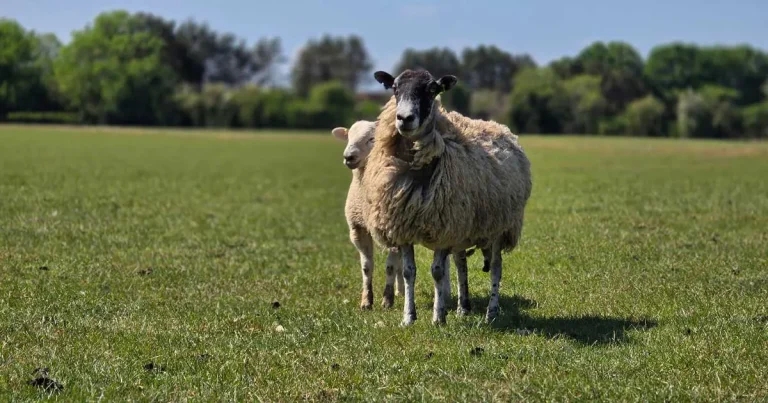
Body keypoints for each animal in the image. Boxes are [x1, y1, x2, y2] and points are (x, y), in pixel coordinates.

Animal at [331, 117, 492, 311]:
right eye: (348, 137)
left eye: (372, 139)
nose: (348, 157)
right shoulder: (358, 228)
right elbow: (367, 267)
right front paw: (367, 301)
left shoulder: (392, 229)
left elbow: (390, 267)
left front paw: (386, 300)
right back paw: (404, 291)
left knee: (451, 261)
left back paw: (448, 294)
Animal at [359, 68, 532, 326]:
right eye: (395, 88)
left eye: (432, 89)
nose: (404, 118)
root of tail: (499, 127)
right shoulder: (404, 228)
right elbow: (409, 272)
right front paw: (408, 317)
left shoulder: (443, 227)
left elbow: (438, 272)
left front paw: (438, 317)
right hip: (464, 227)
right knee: (461, 264)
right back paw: (463, 308)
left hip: (499, 227)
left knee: (496, 268)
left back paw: (491, 312)